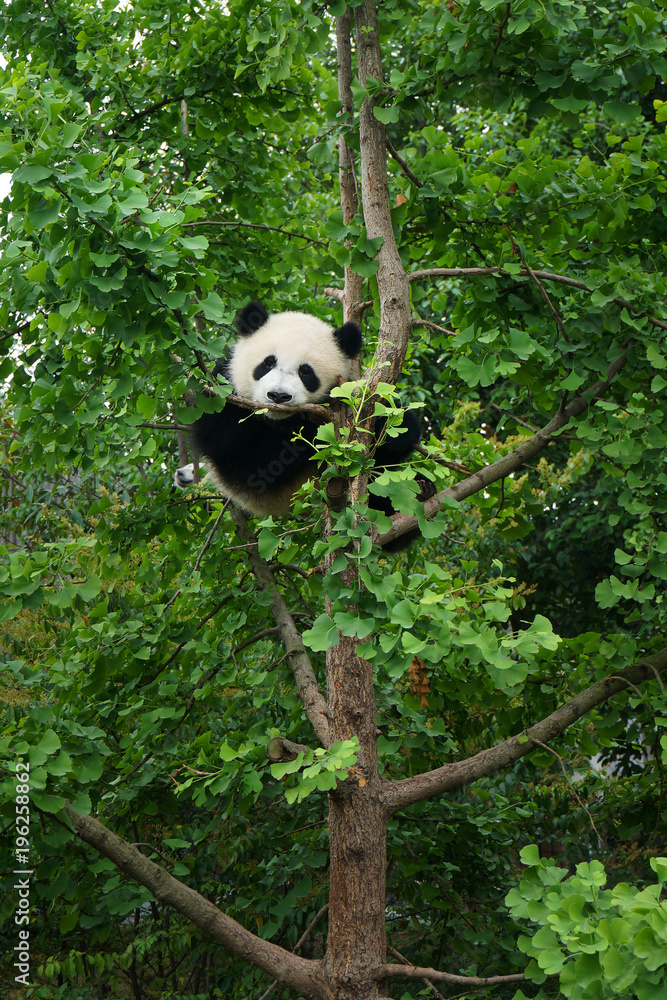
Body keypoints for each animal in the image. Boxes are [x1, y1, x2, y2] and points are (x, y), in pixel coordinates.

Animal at [175, 300, 436, 528]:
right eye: (268, 363)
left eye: (306, 372)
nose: (278, 396)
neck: (278, 422)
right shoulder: (219, 400)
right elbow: (254, 462)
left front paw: (397, 429)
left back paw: (422, 492)